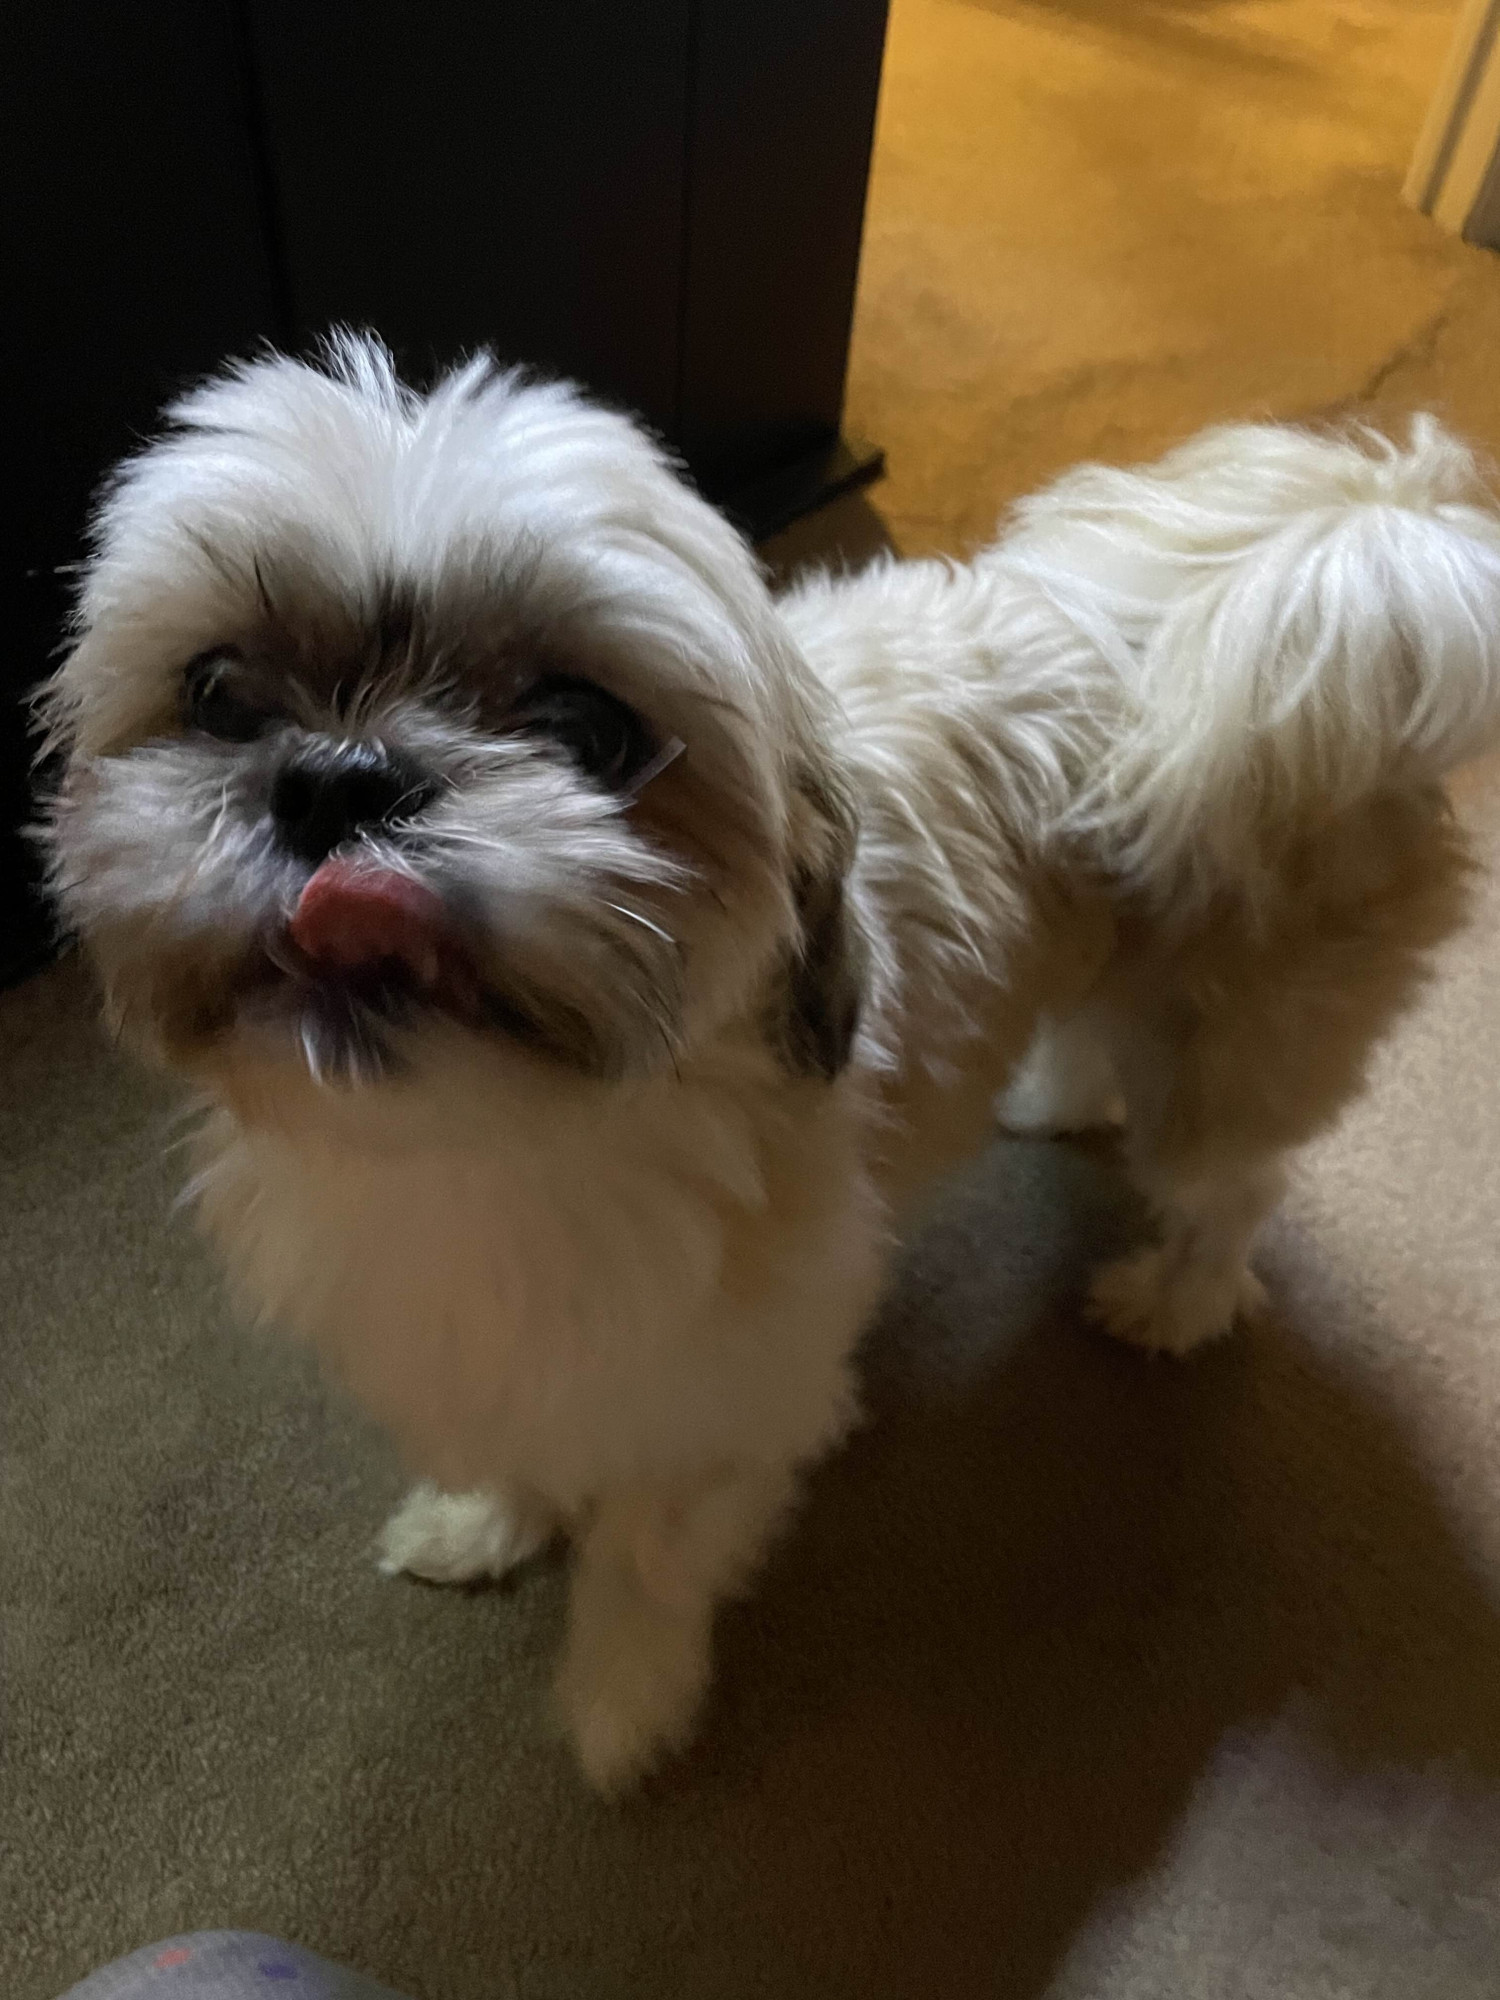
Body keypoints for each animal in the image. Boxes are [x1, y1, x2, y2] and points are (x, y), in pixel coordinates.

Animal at [38, 336, 1500, 1792]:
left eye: (587, 727)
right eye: (221, 692)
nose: (341, 776)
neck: (496, 1145)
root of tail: (1342, 550)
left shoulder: (728, 1398)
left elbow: (642, 1557)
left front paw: (623, 1706)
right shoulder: (488, 1344)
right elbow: (514, 1446)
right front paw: (484, 1522)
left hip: (1233, 1050)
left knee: (1228, 1187)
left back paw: (1172, 1299)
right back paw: (1055, 1097)